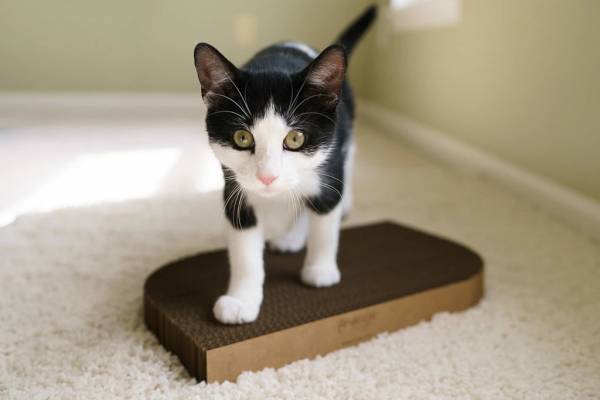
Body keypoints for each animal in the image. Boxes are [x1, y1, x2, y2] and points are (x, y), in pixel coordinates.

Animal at [195, 5, 378, 324]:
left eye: (295, 138)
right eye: (242, 137)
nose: (267, 177)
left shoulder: (329, 161)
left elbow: (325, 218)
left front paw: (320, 269)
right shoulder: (234, 185)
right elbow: (244, 246)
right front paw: (242, 300)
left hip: (346, 130)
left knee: (347, 162)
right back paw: (292, 236)